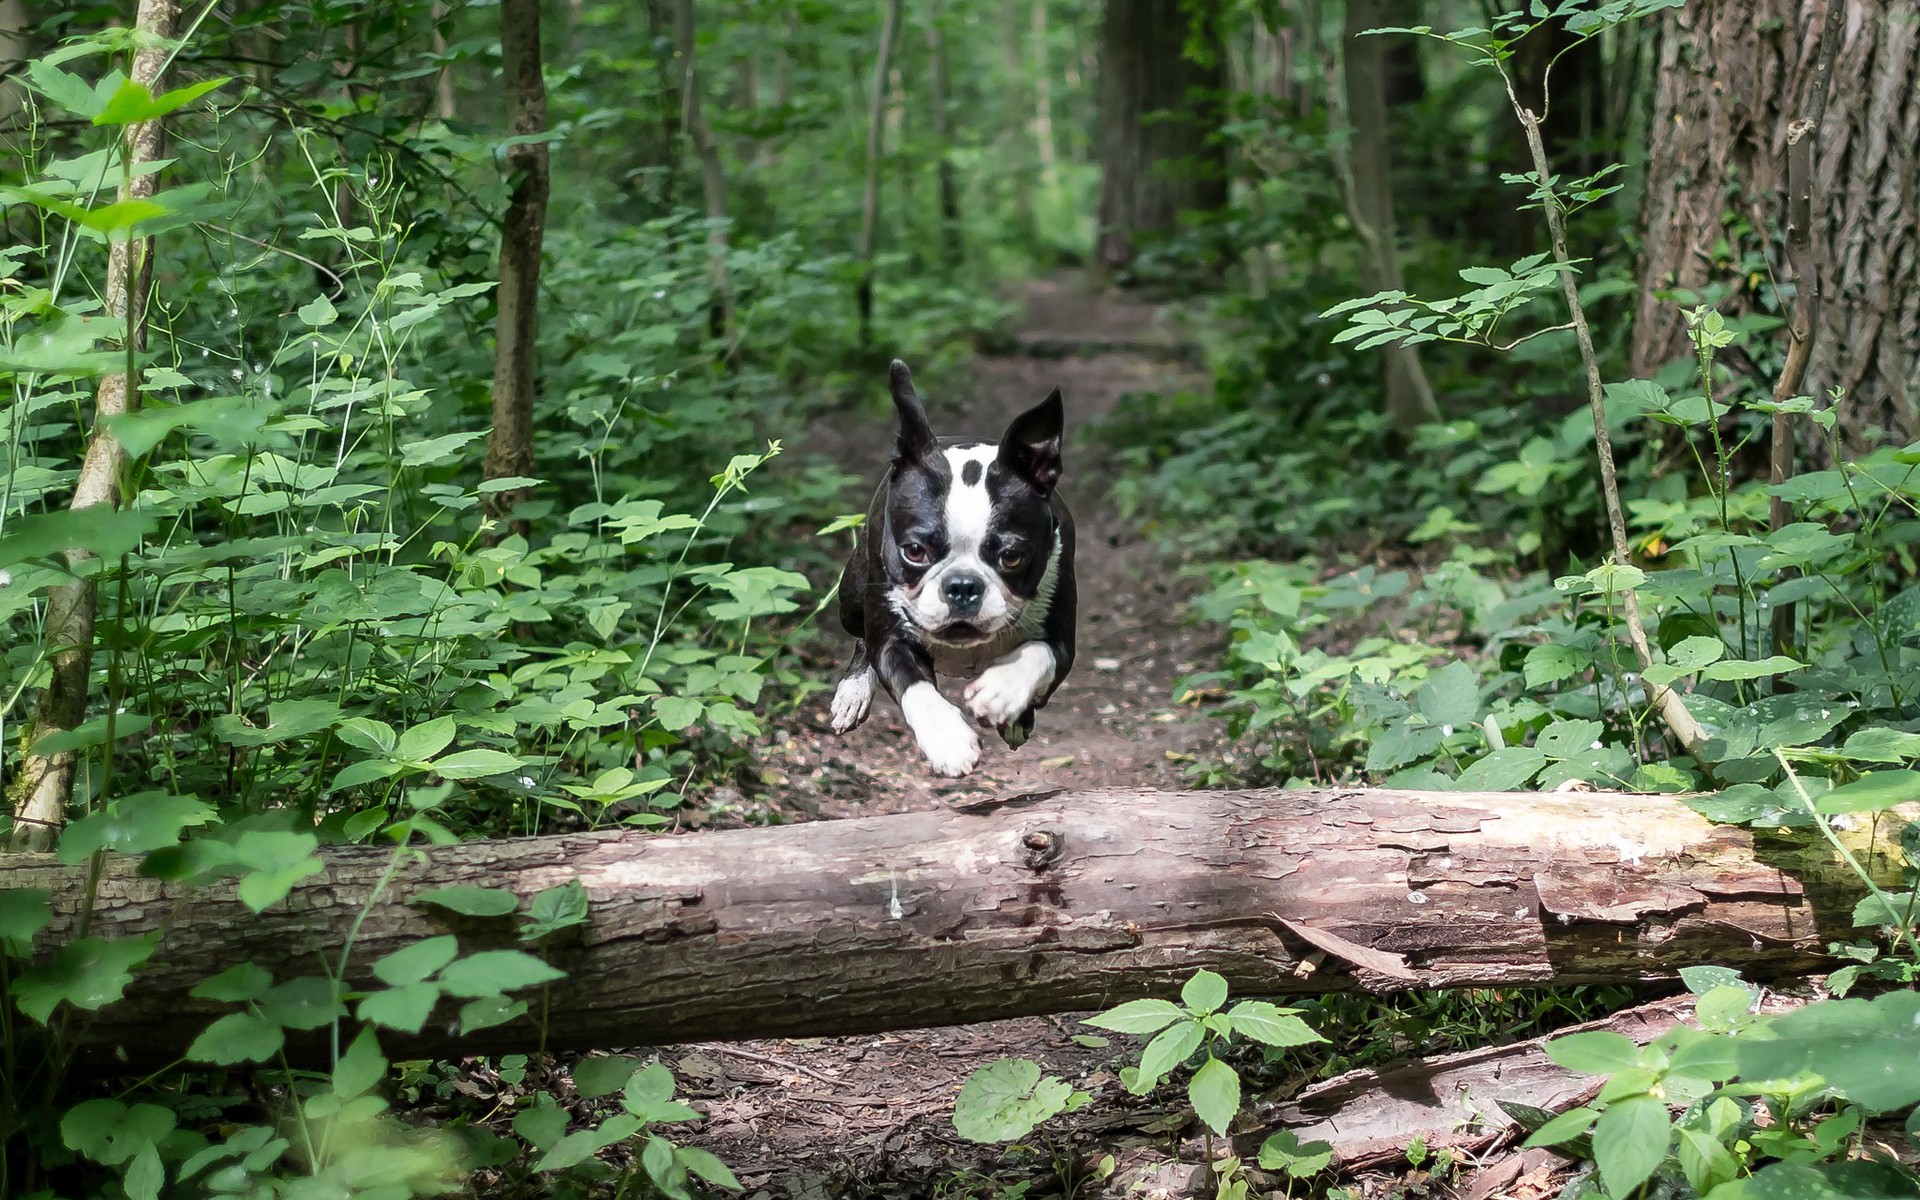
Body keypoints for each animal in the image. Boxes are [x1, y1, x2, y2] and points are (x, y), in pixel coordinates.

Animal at [829, 360, 1082, 775]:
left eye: (1013, 557)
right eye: (915, 551)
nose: (962, 586)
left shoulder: (1061, 640)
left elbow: (1037, 653)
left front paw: (1002, 690)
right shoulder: (891, 637)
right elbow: (912, 683)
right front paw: (947, 739)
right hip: (851, 595)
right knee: (862, 638)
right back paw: (854, 691)